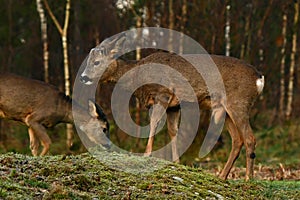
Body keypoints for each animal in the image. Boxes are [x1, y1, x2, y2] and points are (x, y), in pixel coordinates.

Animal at [81, 48, 264, 180]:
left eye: (97, 62)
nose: (83, 77)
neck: (139, 79)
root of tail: (259, 78)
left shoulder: (163, 94)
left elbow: (154, 124)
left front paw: (146, 154)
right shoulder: (174, 107)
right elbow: (173, 132)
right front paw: (177, 162)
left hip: (238, 101)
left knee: (250, 138)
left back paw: (248, 179)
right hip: (224, 109)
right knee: (237, 140)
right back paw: (222, 176)